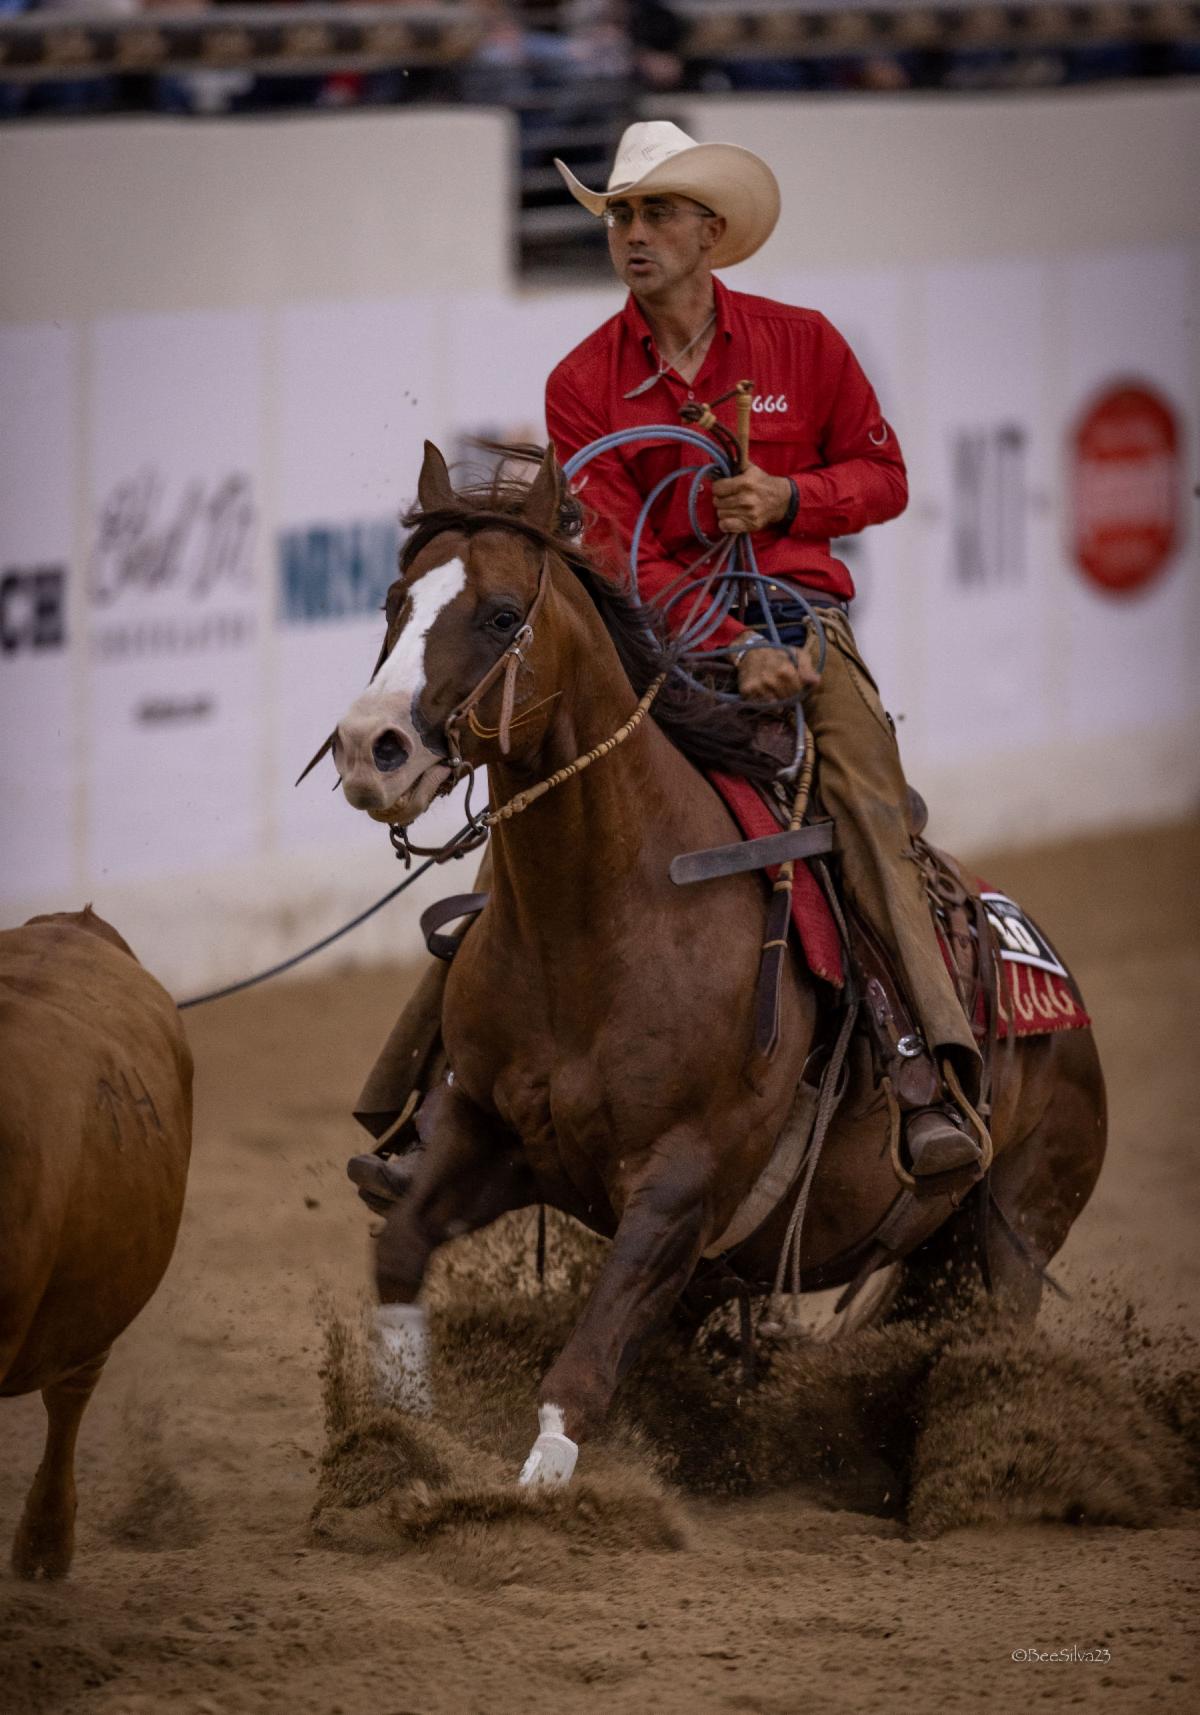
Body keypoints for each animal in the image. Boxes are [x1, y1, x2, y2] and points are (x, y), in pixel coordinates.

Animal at [329, 441, 1106, 1485]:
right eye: (392, 601)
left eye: (498, 614)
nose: (369, 747)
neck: (606, 925)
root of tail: (1065, 1008)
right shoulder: (491, 1131)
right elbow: (404, 1246)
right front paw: (402, 1437)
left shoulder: (680, 1187)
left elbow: (585, 1365)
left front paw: (534, 1485)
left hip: (1014, 1241)